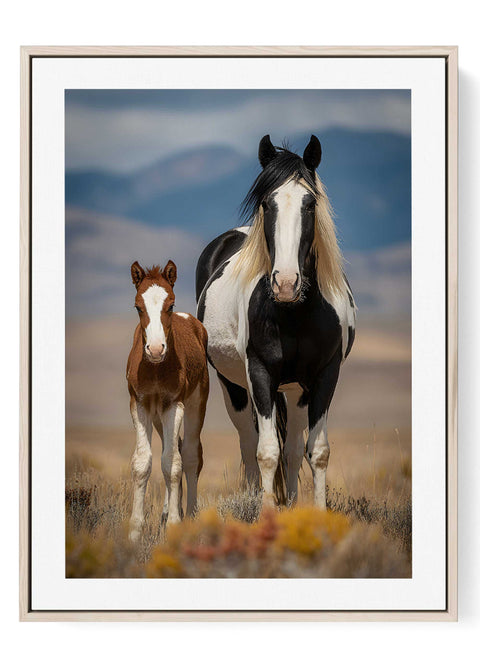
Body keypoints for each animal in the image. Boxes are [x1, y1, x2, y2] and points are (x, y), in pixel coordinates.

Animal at [127, 260, 209, 540]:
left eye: (170, 305)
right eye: (138, 306)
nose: (155, 349)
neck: (155, 369)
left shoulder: (175, 405)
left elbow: (173, 464)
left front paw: (174, 525)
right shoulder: (140, 404)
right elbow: (144, 463)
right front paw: (134, 533)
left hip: (196, 404)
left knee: (191, 455)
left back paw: (191, 516)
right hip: (159, 416)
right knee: (174, 448)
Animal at [195, 135, 355, 508]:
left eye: (310, 204)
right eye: (267, 204)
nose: (285, 284)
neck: (294, 314)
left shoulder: (326, 375)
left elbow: (316, 451)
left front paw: (315, 513)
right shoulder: (259, 373)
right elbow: (266, 452)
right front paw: (267, 511)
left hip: (296, 391)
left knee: (294, 448)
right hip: (234, 386)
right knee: (248, 441)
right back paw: (255, 497)